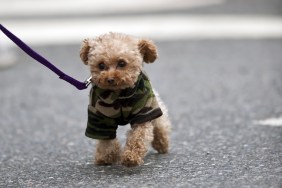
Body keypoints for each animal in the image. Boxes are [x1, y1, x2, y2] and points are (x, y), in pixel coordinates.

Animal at [80, 32, 172, 167]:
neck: (119, 94)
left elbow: (138, 136)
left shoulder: (143, 112)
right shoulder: (100, 118)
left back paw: (162, 143)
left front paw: (131, 157)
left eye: (122, 63)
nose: (110, 79)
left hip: (153, 104)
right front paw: (105, 157)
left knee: (160, 122)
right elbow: (105, 140)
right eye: (101, 65)